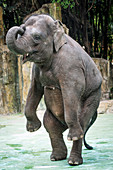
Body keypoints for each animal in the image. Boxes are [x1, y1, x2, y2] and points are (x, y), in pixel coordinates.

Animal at [5, 13, 102, 165]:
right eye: (23, 31)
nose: (20, 28)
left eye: (37, 37)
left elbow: (71, 90)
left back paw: (73, 159)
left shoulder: (71, 66)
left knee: (82, 122)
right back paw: (57, 157)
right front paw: (32, 129)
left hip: (94, 95)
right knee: (51, 126)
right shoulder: (36, 70)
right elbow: (34, 88)